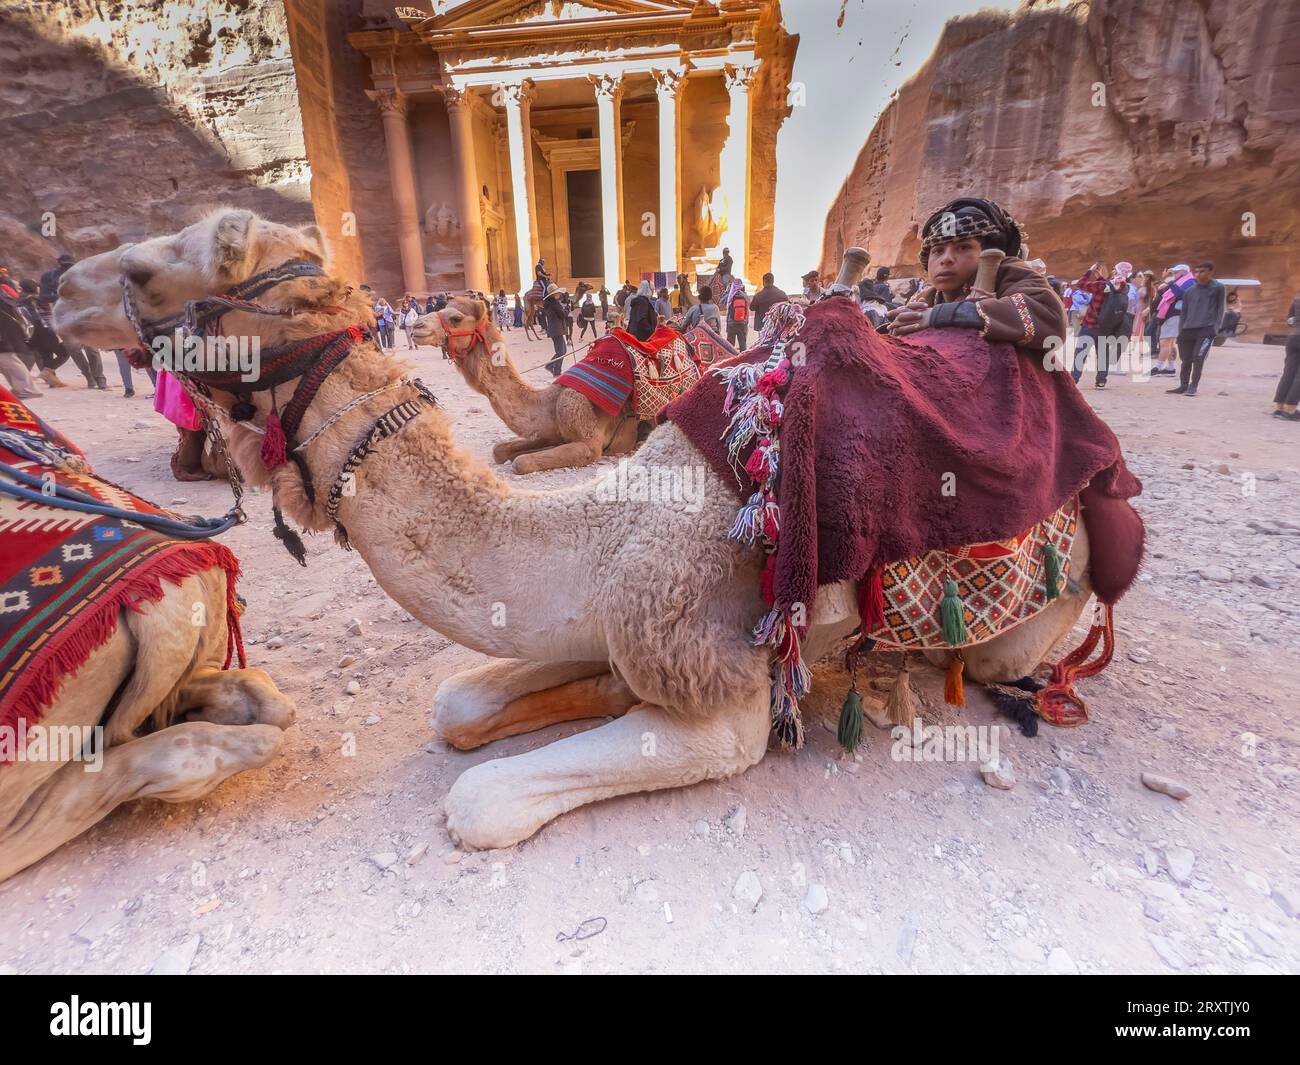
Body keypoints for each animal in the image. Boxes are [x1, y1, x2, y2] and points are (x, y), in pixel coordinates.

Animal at [413, 295, 642, 470]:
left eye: (456, 318)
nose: (416, 325)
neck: (550, 400)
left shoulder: (589, 444)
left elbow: (522, 462)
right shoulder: (548, 431)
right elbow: (500, 450)